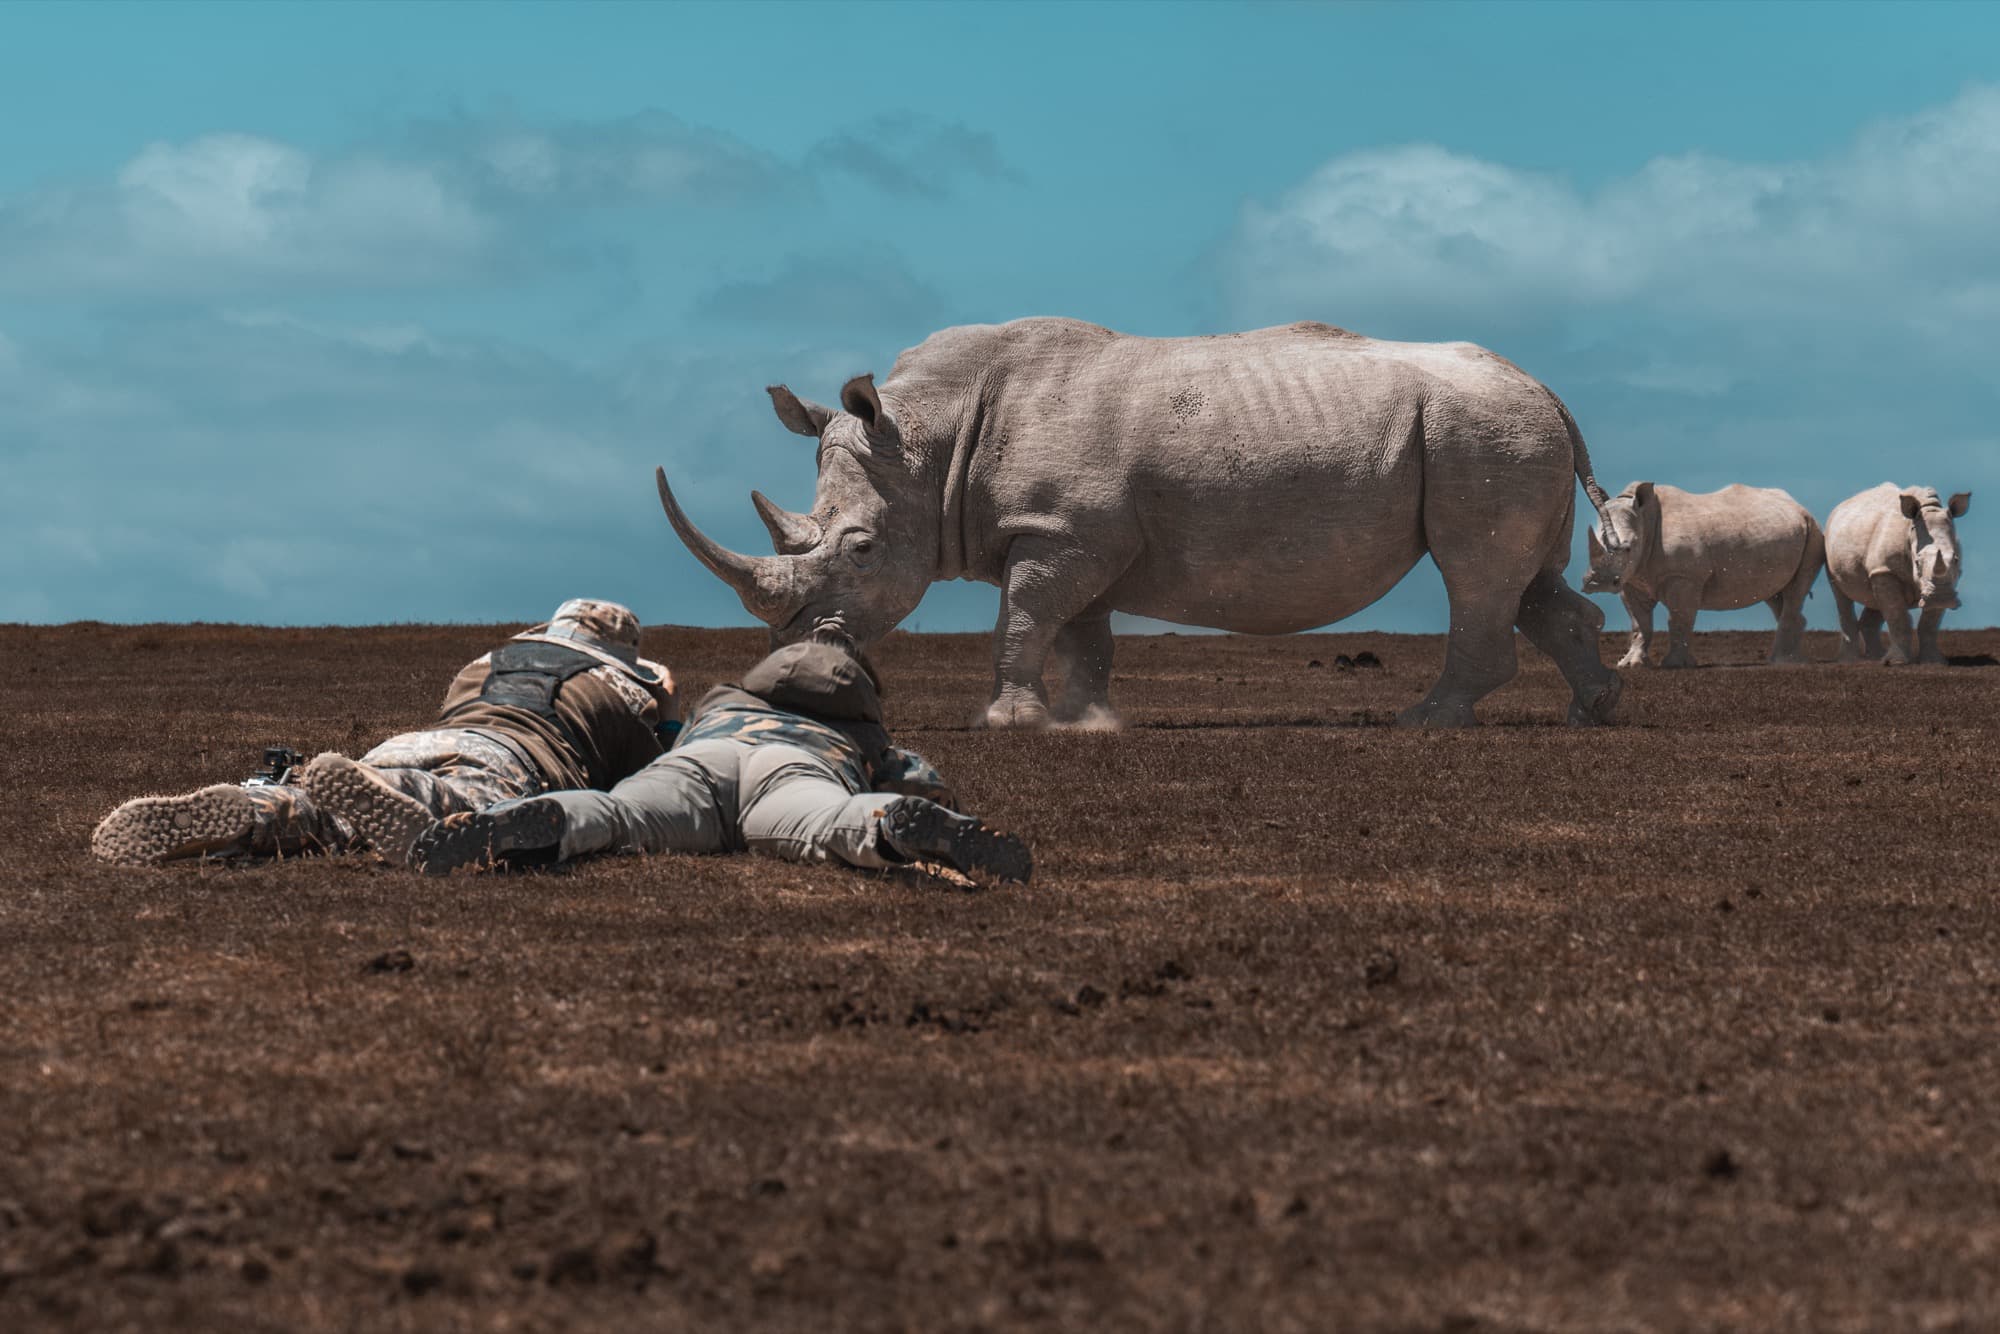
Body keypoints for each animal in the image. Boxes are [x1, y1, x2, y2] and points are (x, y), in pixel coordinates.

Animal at [655, 318, 1622, 729]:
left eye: (857, 549)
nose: (792, 643)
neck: (927, 440)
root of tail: (1547, 387)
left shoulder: (1061, 530)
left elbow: (1022, 619)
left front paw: (1008, 723)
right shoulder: (1077, 532)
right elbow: (1082, 632)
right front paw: (1086, 720)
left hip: (1477, 430)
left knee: (1474, 573)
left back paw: (1426, 721)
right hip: (1497, 429)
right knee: (1527, 582)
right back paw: (1593, 712)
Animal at [1581, 482, 1825, 669]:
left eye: (1628, 547)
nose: (1597, 582)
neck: (1645, 521)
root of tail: (1799, 507)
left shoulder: (1684, 577)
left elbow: (1679, 618)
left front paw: (1675, 664)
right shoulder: (1632, 578)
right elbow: (1639, 623)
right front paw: (1631, 664)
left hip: (1813, 532)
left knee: (1795, 592)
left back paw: (1782, 662)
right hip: (1788, 533)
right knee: (1775, 595)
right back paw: (1794, 659)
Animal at [1824, 482, 1971, 665]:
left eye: (1956, 560)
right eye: (1917, 562)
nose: (1941, 598)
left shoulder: (1948, 580)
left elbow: (1929, 623)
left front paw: (1934, 662)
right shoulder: (1885, 570)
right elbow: (1897, 616)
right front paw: (1896, 663)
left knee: (1875, 599)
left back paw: (1877, 657)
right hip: (1829, 545)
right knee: (1841, 595)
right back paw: (1849, 661)